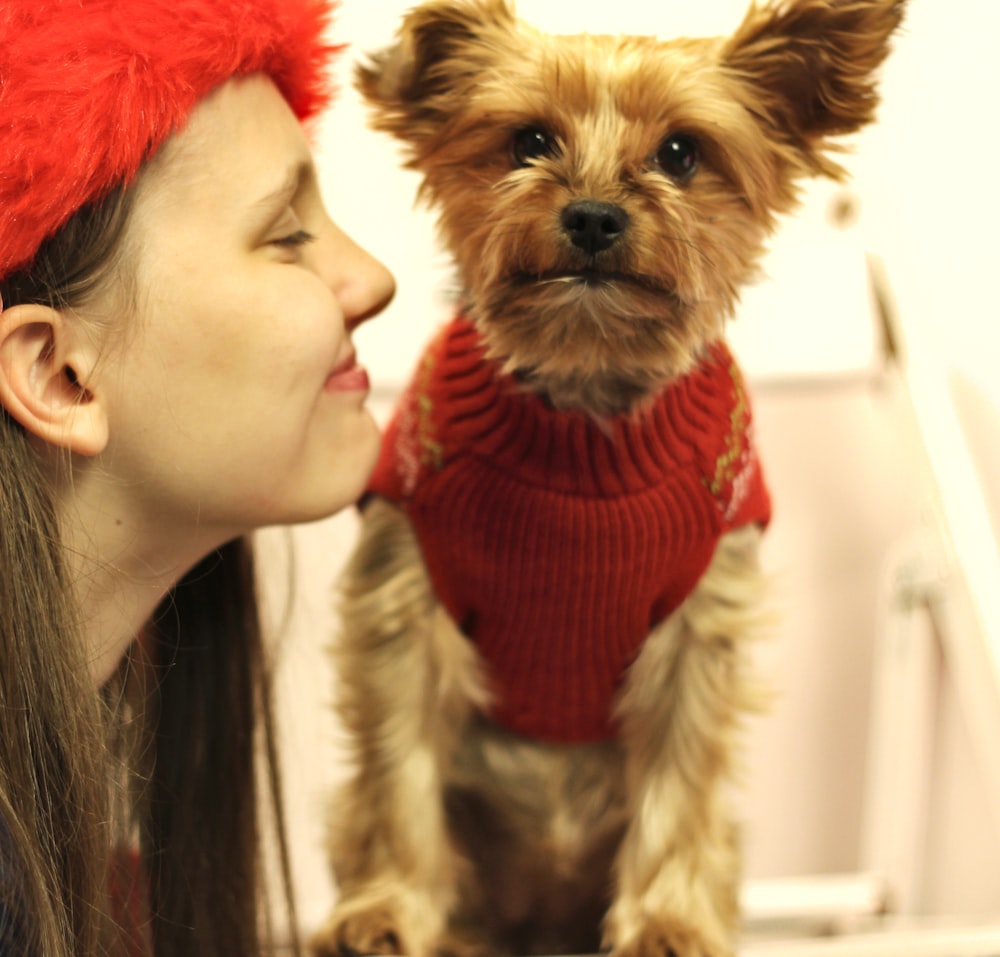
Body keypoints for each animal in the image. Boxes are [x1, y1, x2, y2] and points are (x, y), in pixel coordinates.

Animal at [312, 3, 908, 952]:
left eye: (682, 153)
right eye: (528, 140)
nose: (592, 217)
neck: (584, 400)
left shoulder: (702, 618)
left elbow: (680, 778)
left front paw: (665, 920)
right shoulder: (403, 595)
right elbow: (400, 769)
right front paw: (386, 909)